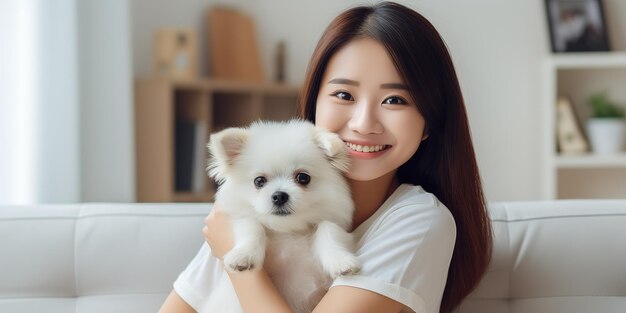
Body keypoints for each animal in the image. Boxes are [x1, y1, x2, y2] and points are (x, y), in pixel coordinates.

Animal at [205, 119, 358, 312]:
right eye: (259, 181)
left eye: (303, 177)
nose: (279, 195)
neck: (288, 230)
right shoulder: (240, 218)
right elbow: (252, 225)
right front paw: (244, 255)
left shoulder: (333, 222)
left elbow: (328, 227)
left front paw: (340, 260)